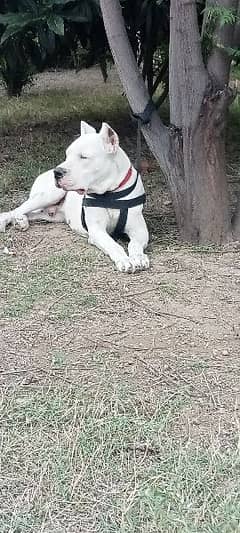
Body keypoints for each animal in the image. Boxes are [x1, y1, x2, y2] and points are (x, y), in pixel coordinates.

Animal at [0, 122, 149, 272]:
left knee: (32, 214)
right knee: (15, 211)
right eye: (67, 155)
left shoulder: (140, 229)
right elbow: (113, 245)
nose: (57, 172)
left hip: (52, 215)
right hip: (50, 195)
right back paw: (16, 220)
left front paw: (139, 257)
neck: (111, 192)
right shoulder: (97, 231)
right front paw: (124, 260)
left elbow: (134, 244)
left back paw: (22, 221)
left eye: (83, 157)